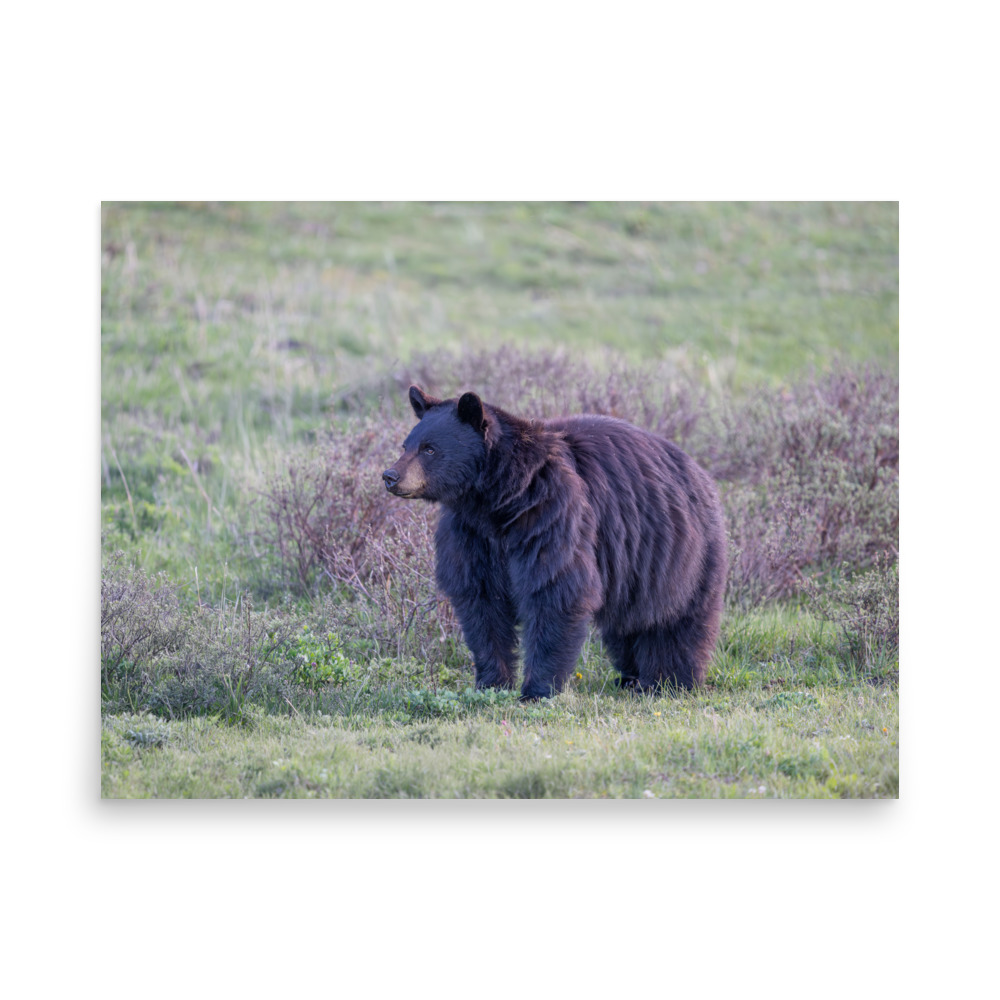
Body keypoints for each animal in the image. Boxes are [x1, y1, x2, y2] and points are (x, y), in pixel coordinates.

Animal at [382, 384, 727, 700]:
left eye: (429, 449)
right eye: (406, 444)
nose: (390, 476)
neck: (497, 500)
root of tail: (701, 473)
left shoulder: (550, 514)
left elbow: (554, 589)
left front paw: (537, 690)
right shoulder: (471, 535)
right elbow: (481, 601)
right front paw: (491, 683)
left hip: (681, 553)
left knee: (677, 620)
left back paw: (669, 681)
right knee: (628, 624)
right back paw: (631, 677)